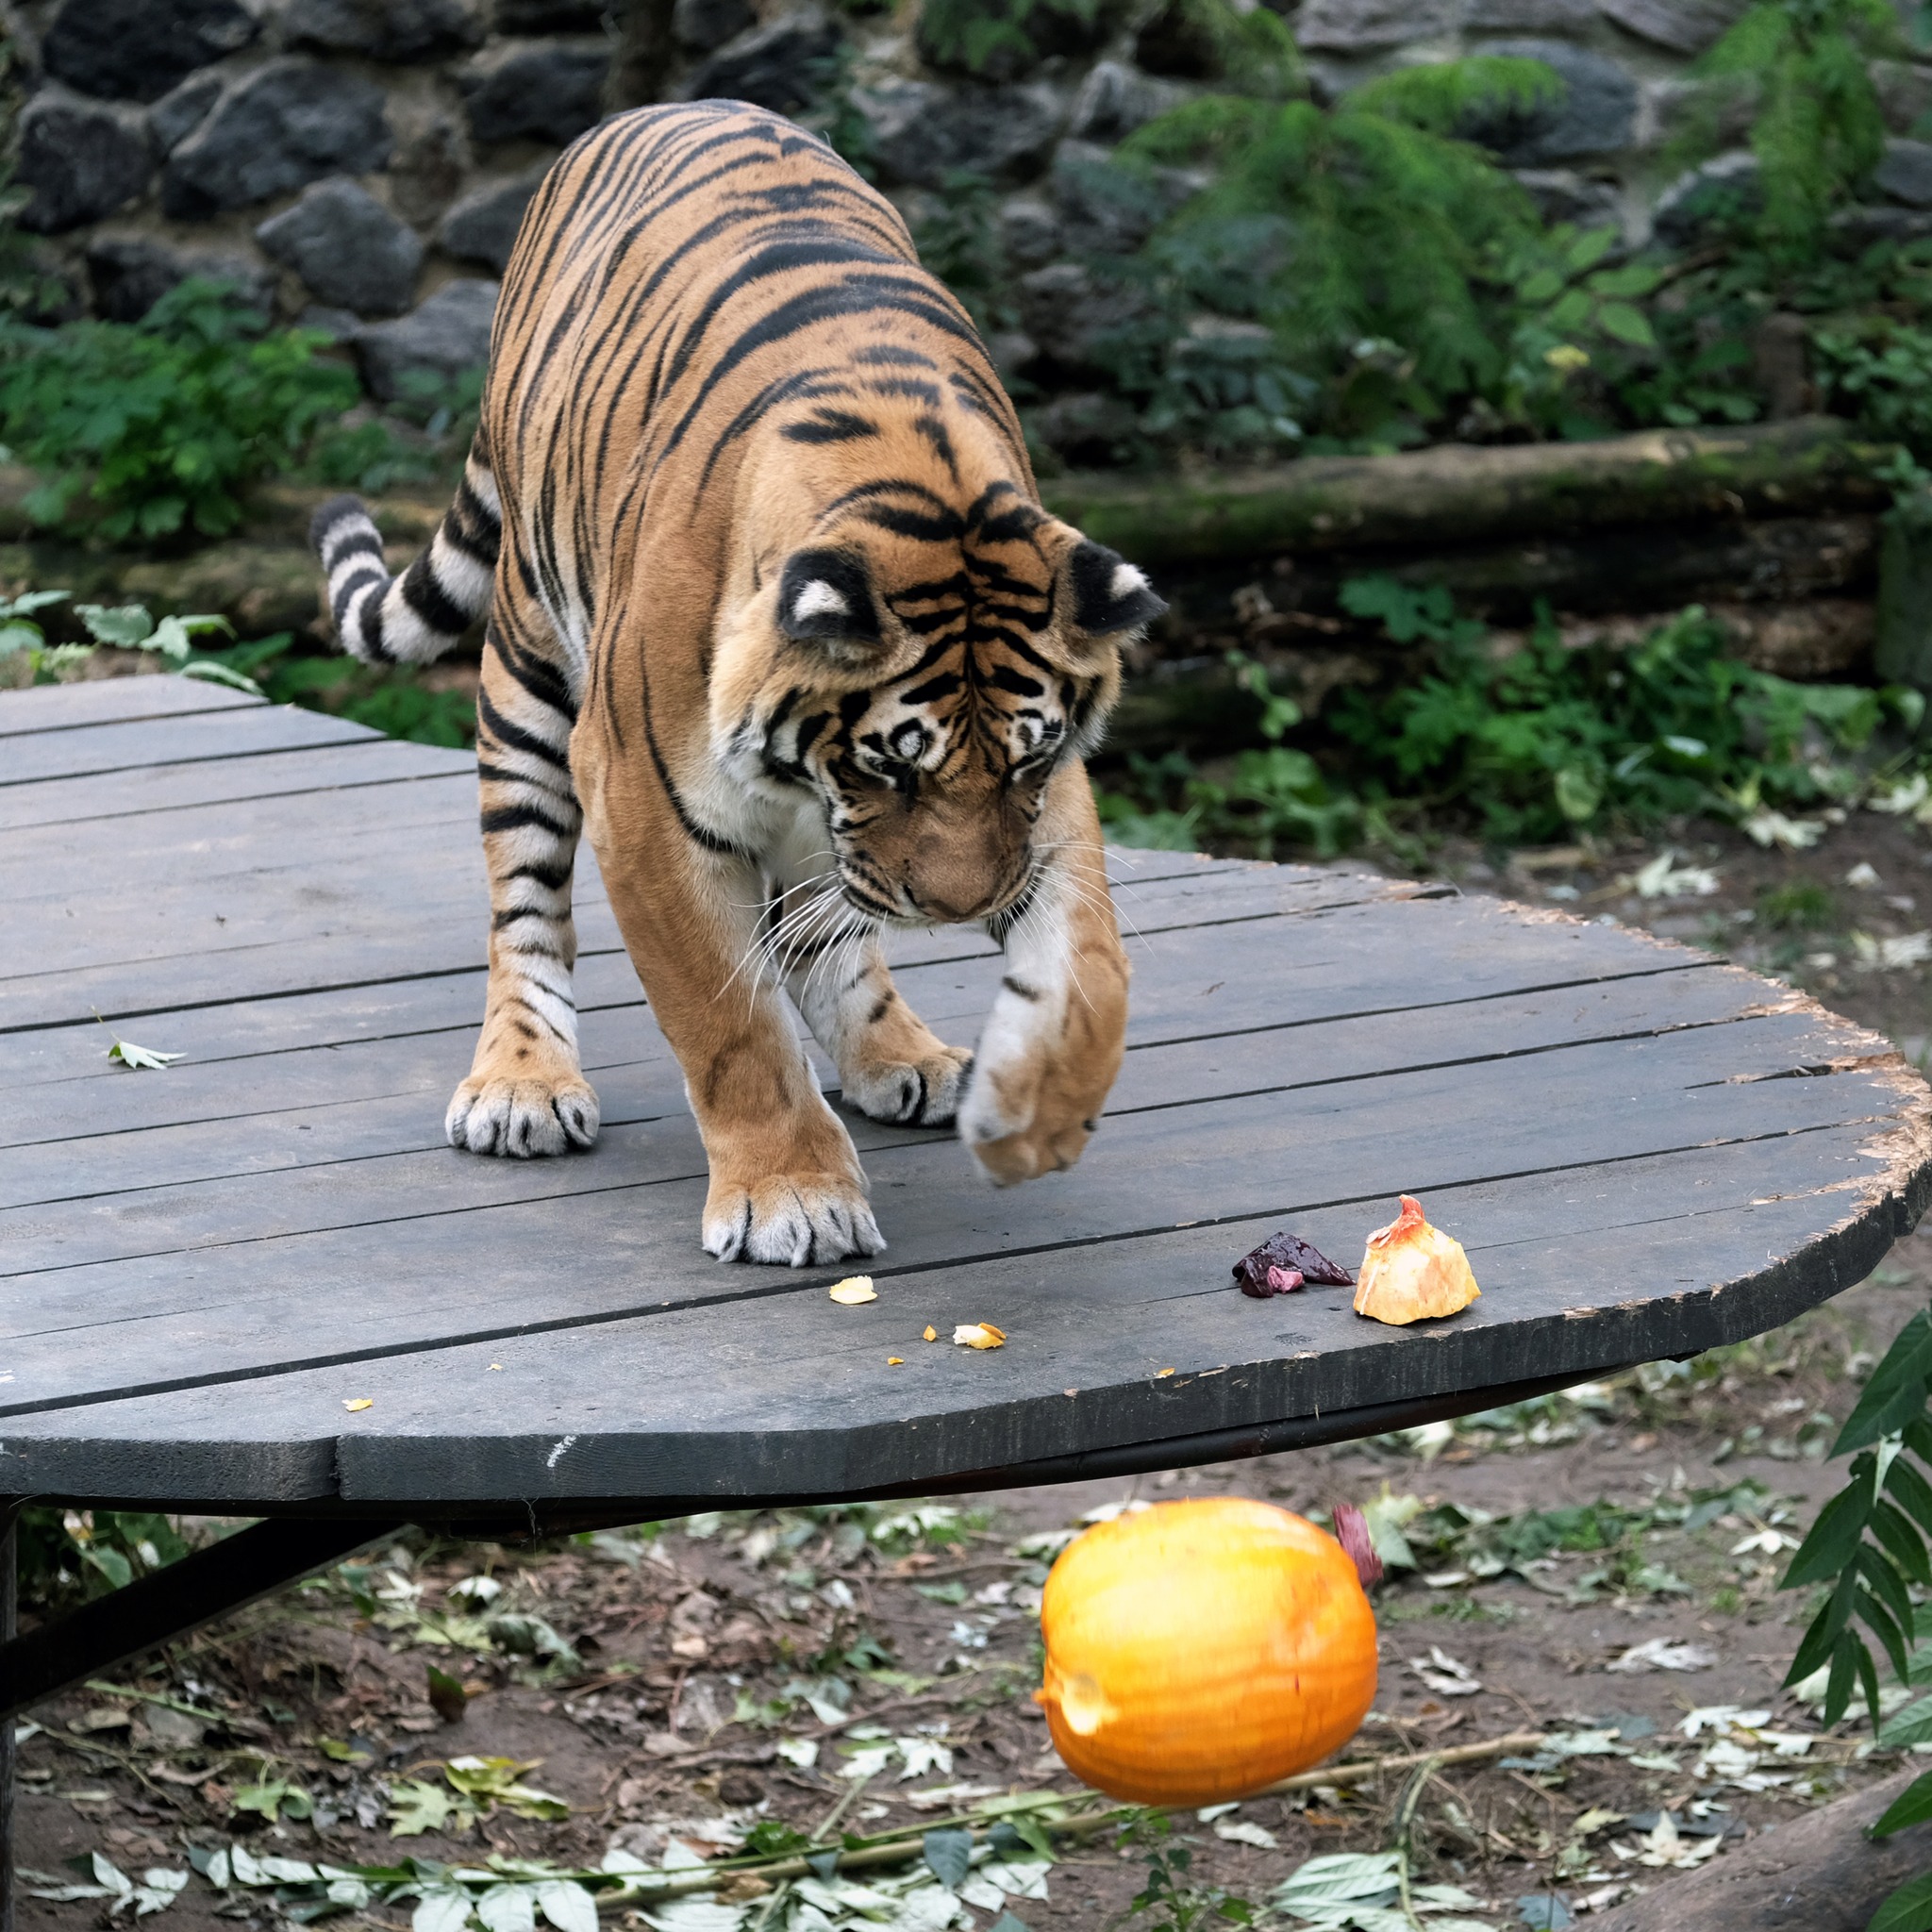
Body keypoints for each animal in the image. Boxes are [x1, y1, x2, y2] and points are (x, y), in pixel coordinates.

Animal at [308, 97, 1166, 1267]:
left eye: (1022, 763)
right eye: (891, 769)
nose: (961, 909)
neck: (918, 476)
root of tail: (663, 106)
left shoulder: (1044, 800)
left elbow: (1090, 967)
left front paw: (1031, 1116)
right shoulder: (639, 800)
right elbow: (727, 1024)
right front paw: (791, 1194)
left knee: (820, 928)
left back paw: (903, 1057)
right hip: (526, 680)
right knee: (526, 909)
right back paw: (522, 1086)